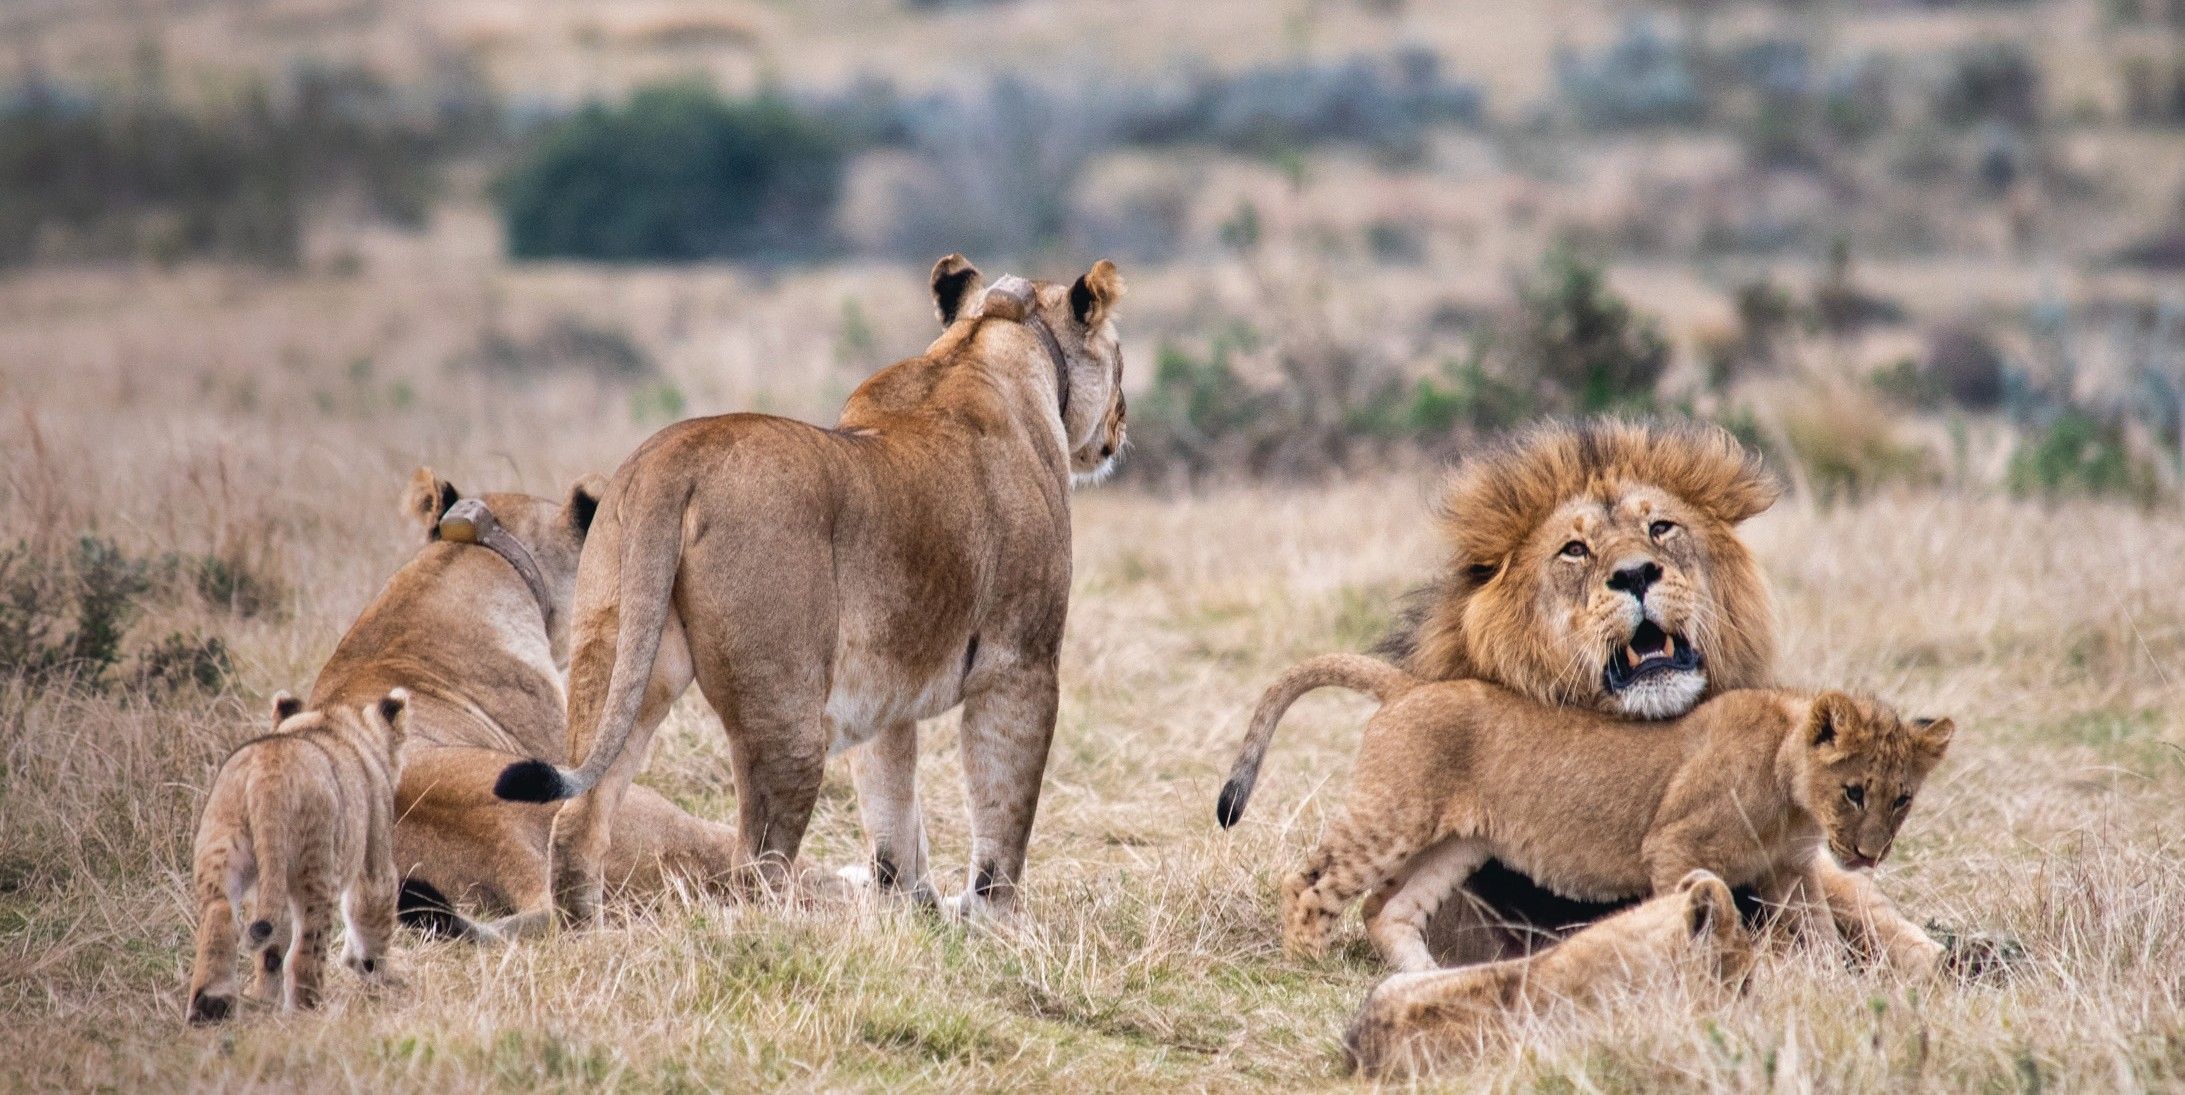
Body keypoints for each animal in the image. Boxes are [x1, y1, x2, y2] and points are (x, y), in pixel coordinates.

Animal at [186, 689, 410, 1022]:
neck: (329, 723)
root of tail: (268, 772)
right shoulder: (375, 854)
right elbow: (373, 912)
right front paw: (379, 977)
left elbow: (272, 948)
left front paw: (265, 996)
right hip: (316, 866)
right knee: (306, 949)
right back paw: (309, 1010)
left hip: (223, 846)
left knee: (221, 913)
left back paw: (211, 1006)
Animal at [493, 255, 1130, 924]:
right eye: (1122, 361)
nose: (1124, 418)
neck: (986, 341)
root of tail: (676, 457)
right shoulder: (1021, 664)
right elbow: (1004, 805)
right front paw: (994, 919)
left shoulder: (886, 690)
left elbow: (893, 809)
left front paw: (915, 909)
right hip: (786, 709)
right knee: (756, 862)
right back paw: (785, 930)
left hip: (622, 659)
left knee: (579, 817)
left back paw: (586, 930)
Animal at [1222, 662, 1953, 972]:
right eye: (1854, 790)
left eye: (1901, 798)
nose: (1868, 855)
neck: (1791, 794)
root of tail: (1409, 684)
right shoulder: (1673, 846)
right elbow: (1688, 918)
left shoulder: (1791, 871)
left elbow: (1823, 936)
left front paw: (1834, 991)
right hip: (1393, 817)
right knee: (1308, 884)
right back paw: (1305, 964)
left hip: (1455, 843)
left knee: (1386, 909)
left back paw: (1425, 978)